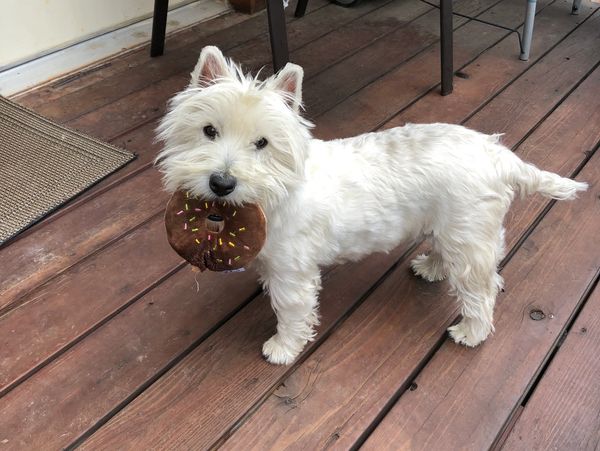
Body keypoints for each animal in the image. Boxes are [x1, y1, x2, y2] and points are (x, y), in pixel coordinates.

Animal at [157, 46, 588, 366]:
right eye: (209, 131)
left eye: (262, 142)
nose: (221, 183)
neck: (275, 192)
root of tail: (500, 157)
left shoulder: (294, 273)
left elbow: (292, 311)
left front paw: (282, 348)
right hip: (449, 226)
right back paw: (431, 268)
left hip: (468, 234)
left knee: (482, 288)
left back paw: (471, 332)